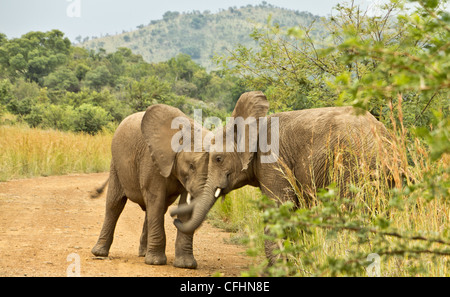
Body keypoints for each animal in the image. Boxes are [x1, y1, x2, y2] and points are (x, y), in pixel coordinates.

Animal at [92, 104, 211, 268]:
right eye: (191, 166)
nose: (175, 220)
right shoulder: (152, 159)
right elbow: (156, 199)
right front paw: (155, 262)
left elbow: (184, 206)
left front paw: (186, 265)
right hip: (116, 165)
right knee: (114, 204)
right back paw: (99, 253)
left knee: (151, 209)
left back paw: (143, 253)